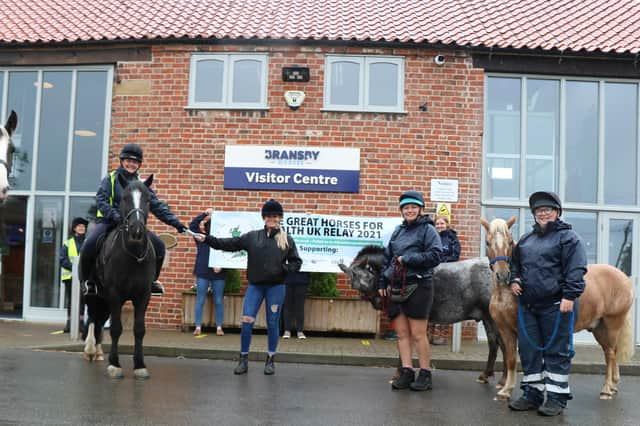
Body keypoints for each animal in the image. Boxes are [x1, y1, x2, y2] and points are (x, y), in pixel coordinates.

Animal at [83, 173, 157, 380]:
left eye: (148, 199)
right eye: (124, 198)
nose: (136, 230)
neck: (132, 254)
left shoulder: (143, 295)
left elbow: (139, 329)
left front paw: (139, 365)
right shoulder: (115, 294)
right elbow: (116, 328)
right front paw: (114, 365)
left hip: (104, 298)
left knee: (100, 319)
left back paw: (98, 351)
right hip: (94, 294)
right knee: (93, 317)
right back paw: (90, 350)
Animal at [338, 243, 508, 386]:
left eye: (367, 277)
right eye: (353, 282)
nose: (377, 301)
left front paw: (400, 374)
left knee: (505, 343)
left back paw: (504, 380)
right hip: (486, 317)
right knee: (493, 343)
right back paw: (485, 375)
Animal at [482, 218, 636, 402]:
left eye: (510, 242)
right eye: (487, 242)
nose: (503, 275)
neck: (506, 294)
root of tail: (623, 278)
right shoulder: (505, 330)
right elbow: (510, 359)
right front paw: (505, 391)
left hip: (613, 324)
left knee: (611, 353)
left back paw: (606, 390)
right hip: (599, 328)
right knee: (609, 352)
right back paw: (612, 386)